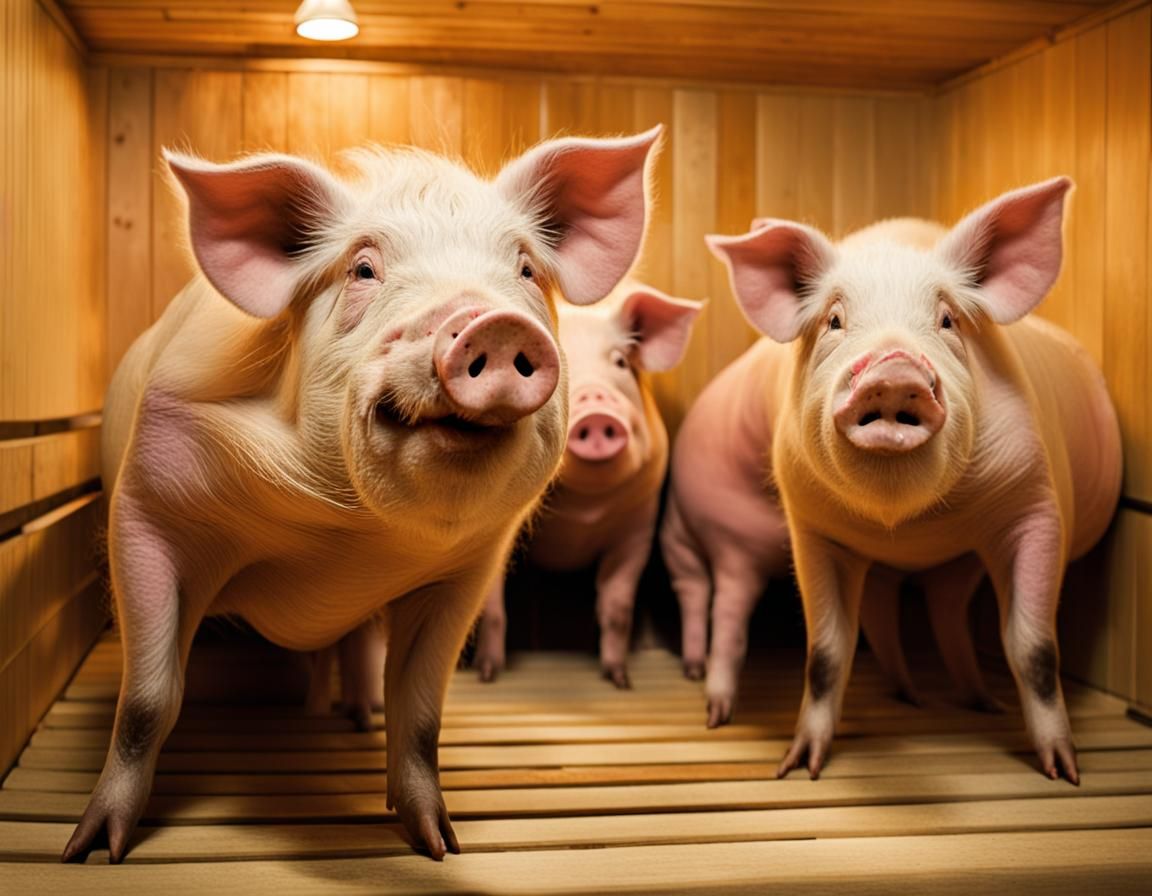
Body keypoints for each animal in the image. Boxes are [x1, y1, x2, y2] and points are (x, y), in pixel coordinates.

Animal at [63, 127, 662, 863]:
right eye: (364, 270)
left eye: (524, 269)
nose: (491, 323)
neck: (349, 540)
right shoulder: (146, 510)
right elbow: (148, 699)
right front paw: (92, 852)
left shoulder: (464, 571)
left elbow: (421, 712)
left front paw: (439, 845)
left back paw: (352, 716)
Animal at [473, 282, 702, 687]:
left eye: (621, 363)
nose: (596, 404)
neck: (582, 513)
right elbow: (493, 605)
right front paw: (488, 676)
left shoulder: (637, 527)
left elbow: (617, 606)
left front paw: (621, 681)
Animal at [703, 177, 1122, 783]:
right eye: (834, 321)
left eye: (947, 320)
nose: (893, 367)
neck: (906, 525)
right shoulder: (812, 526)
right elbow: (826, 652)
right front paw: (797, 768)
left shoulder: (1036, 503)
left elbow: (1035, 648)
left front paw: (1065, 772)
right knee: (903, 608)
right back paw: (915, 696)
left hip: (964, 558)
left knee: (945, 611)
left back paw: (977, 704)